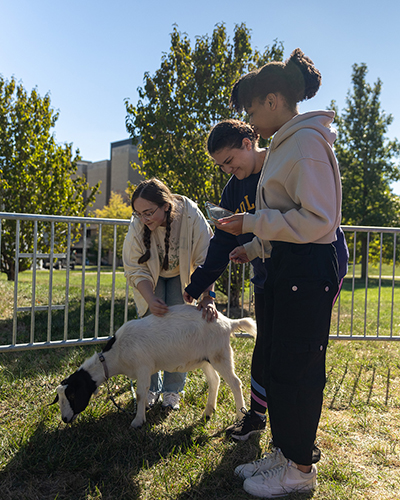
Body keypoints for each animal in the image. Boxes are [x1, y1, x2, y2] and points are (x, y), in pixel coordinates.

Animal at [52, 302, 256, 428]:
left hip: (220, 354)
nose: (64, 418)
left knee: (235, 383)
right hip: (205, 359)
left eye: (72, 395)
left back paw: (239, 416)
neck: (116, 354)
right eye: (59, 398)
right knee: (215, 381)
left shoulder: (142, 367)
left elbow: (140, 394)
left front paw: (137, 421)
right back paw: (208, 412)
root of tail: (228, 322)